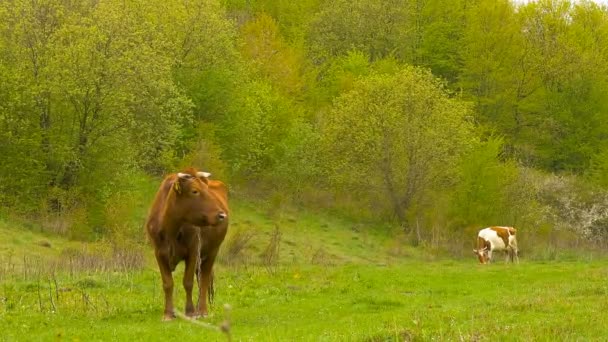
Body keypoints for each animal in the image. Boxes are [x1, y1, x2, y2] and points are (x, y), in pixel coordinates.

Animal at [146, 168, 229, 320]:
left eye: (207, 189)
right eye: (194, 191)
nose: (221, 215)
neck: (171, 230)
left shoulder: (193, 251)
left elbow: (188, 282)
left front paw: (190, 311)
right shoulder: (159, 253)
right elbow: (167, 283)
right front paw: (168, 314)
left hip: (213, 251)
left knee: (204, 280)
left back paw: (201, 311)